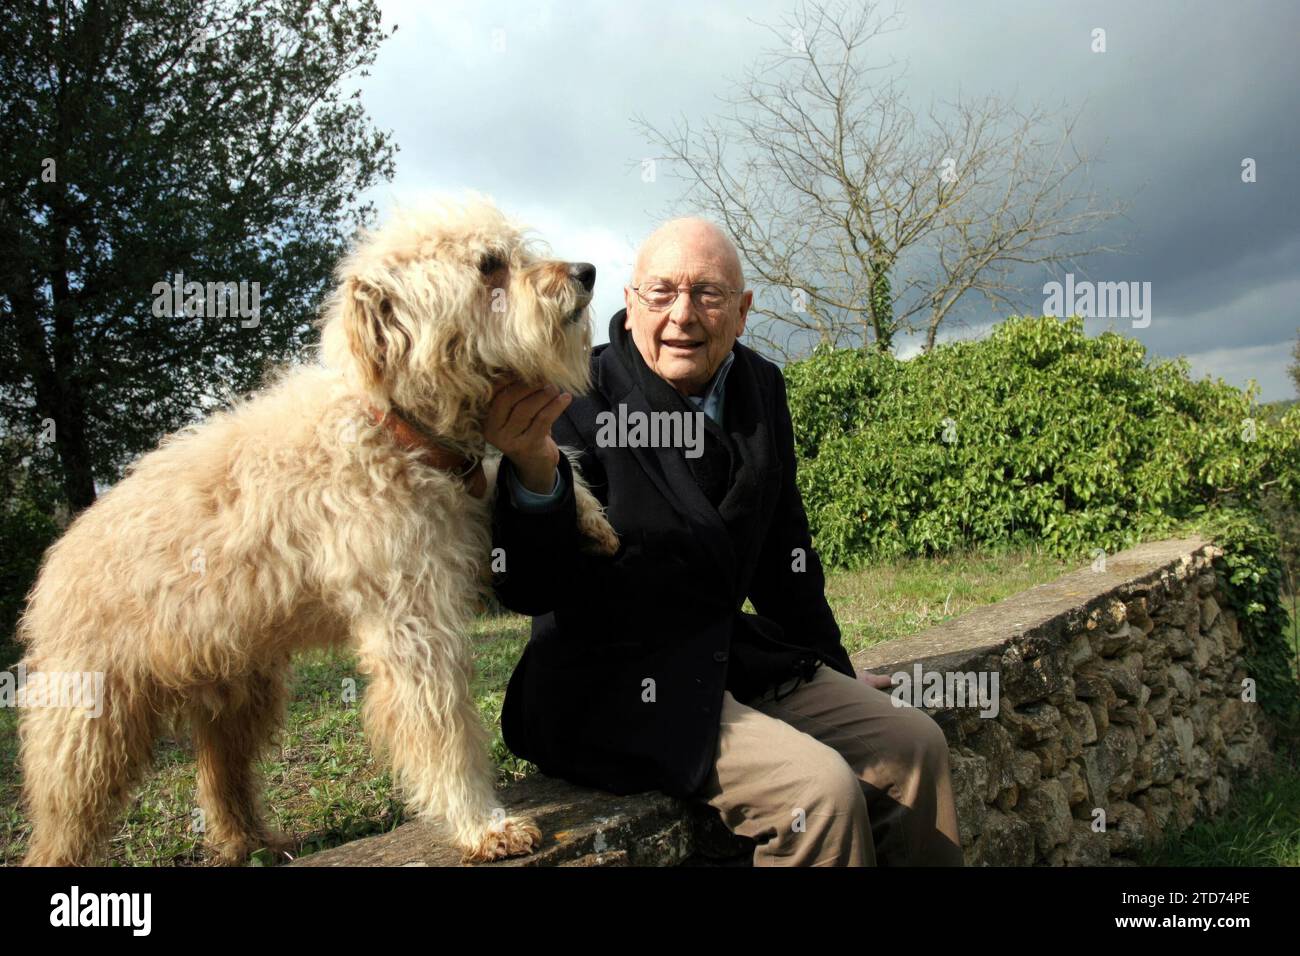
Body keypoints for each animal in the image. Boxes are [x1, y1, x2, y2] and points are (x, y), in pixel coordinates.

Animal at [19, 196, 618, 868]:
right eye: (490, 265)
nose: (588, 272)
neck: (398, 429)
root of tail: (62, 551)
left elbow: (506, 477)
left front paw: (591, 517)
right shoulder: (412, 625)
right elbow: (444, 729)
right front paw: (480, 822)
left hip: (239, 692)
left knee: (221, 777)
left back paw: (251, 841)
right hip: (88, 723)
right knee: (64, 815)